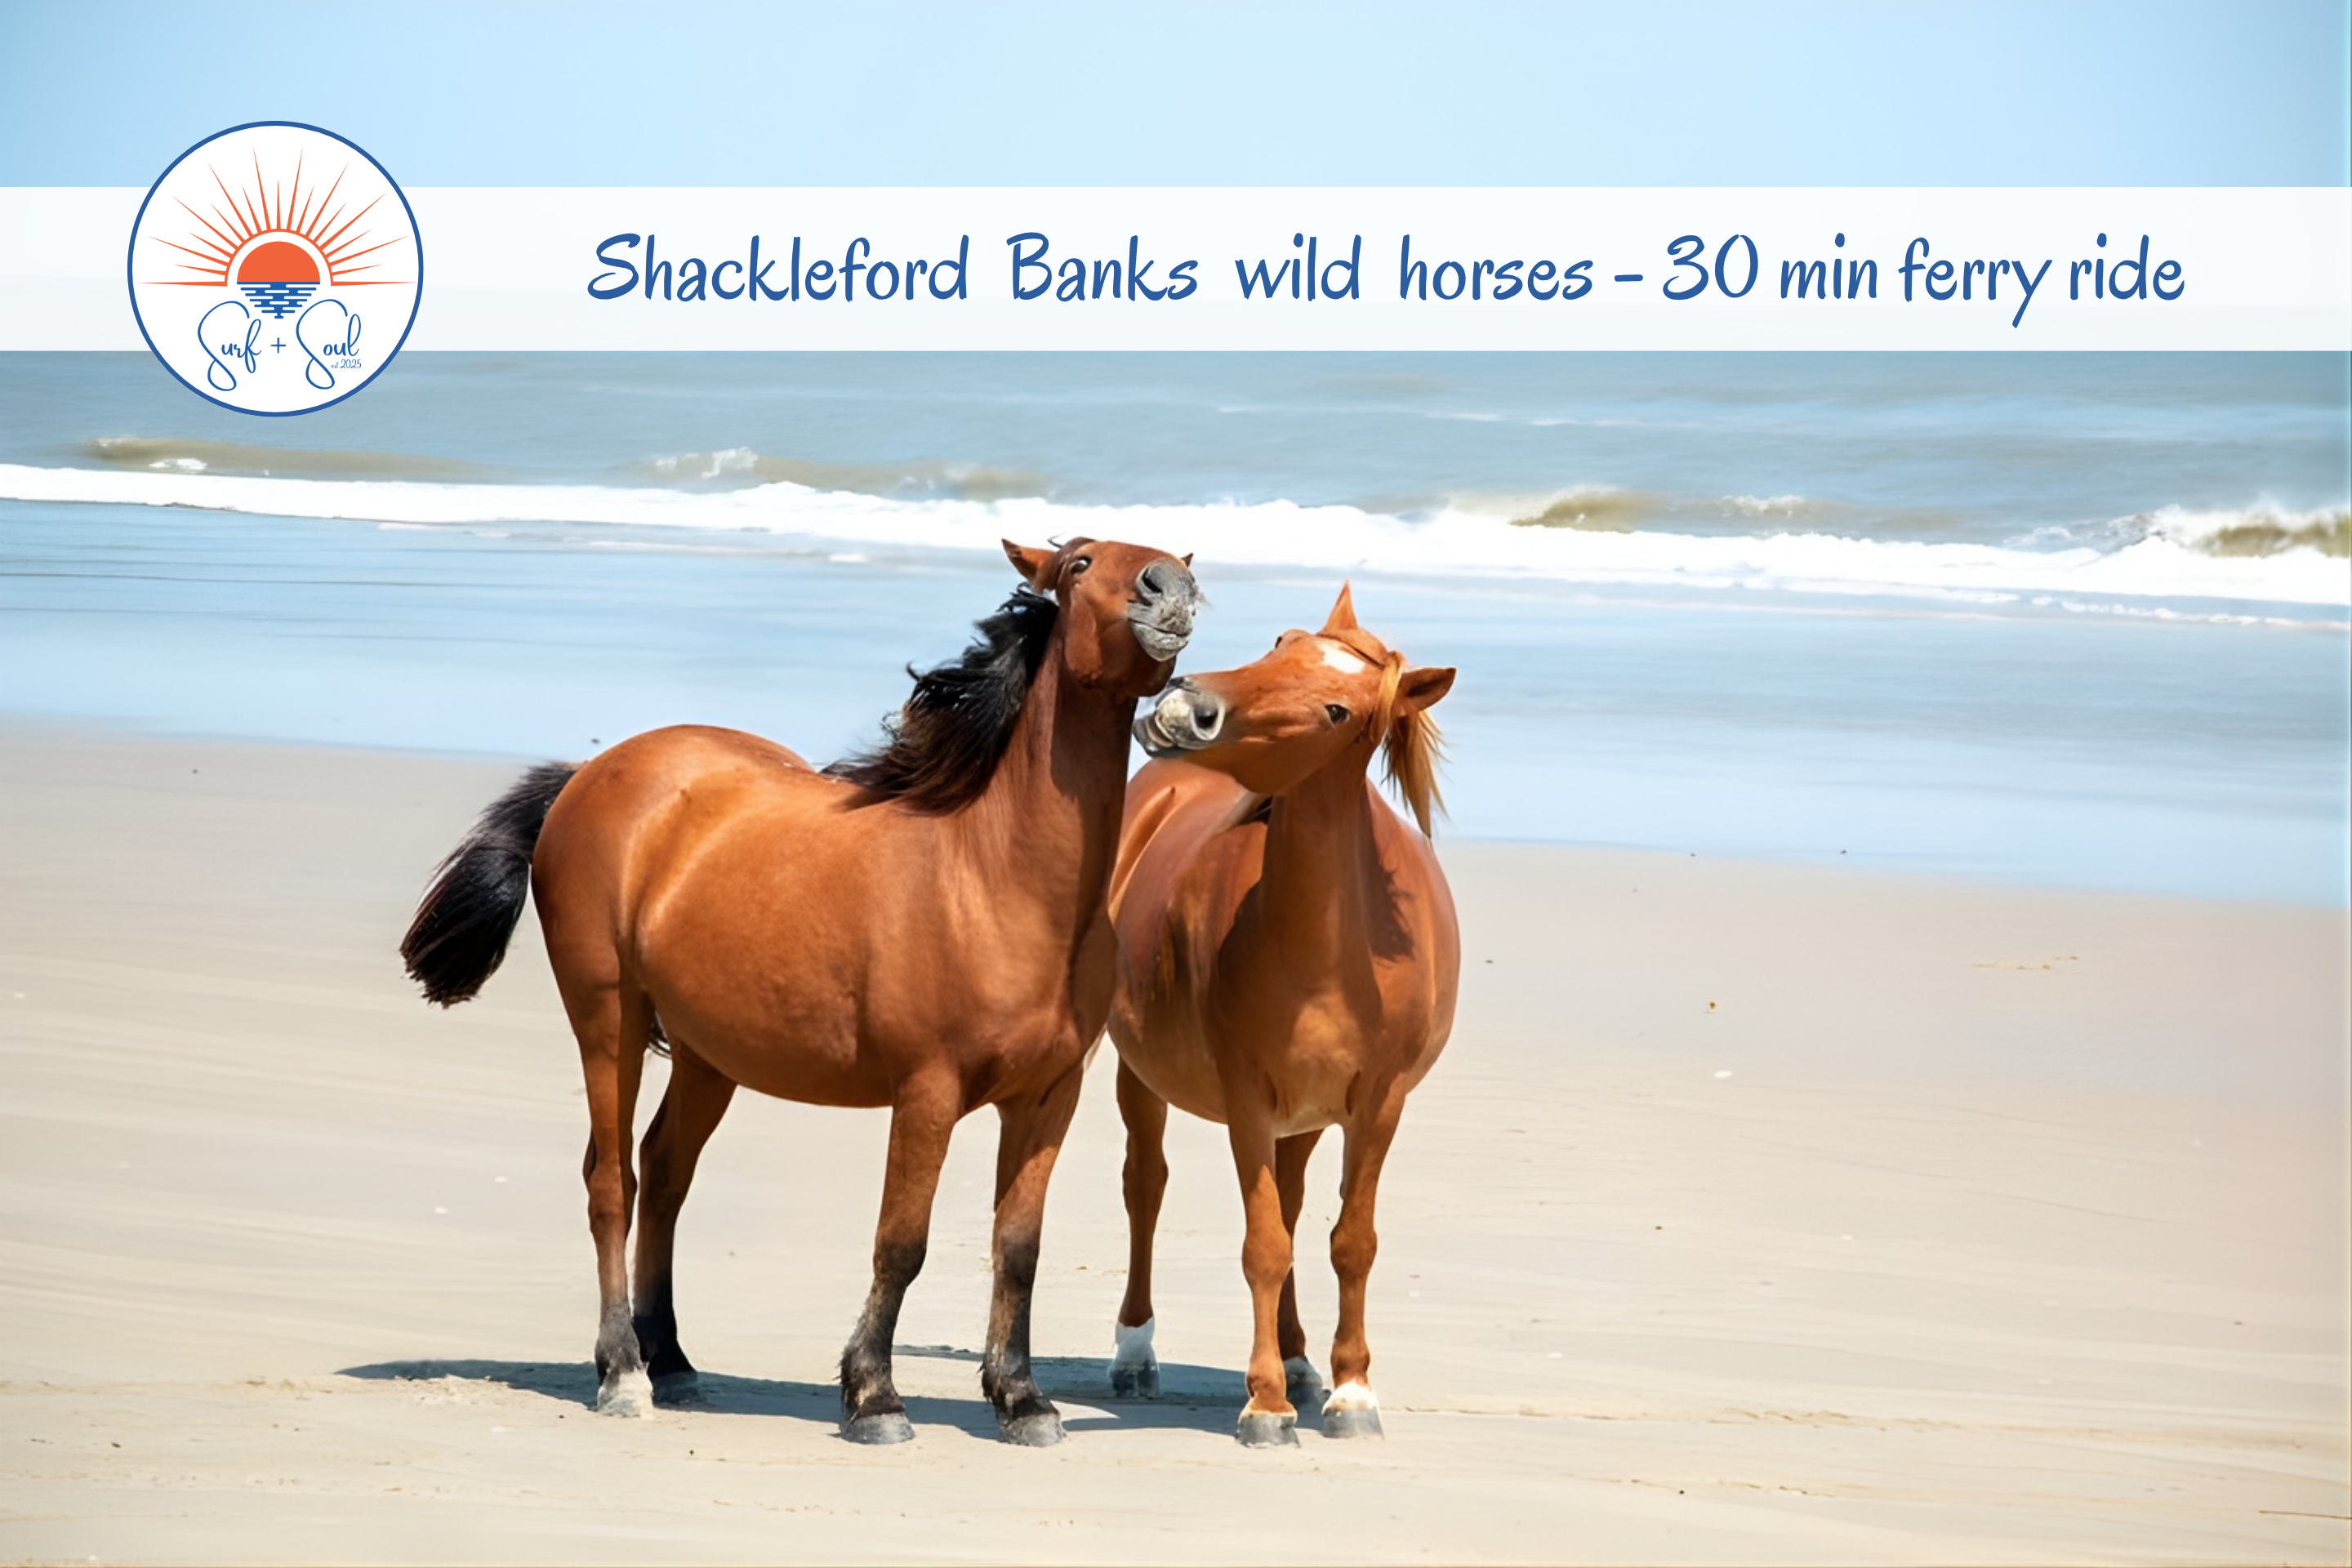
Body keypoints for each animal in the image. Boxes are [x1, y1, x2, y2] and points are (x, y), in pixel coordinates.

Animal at [399, 538, 1202, 1447]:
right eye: (1079, 565)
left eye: (1174, 561)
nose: (1171, 590)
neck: (998, 879)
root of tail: (591, 772)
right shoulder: (926, 1093)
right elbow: (901, 1243)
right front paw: (873, 1398)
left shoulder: (1047, 1098)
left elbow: (1018, 1250)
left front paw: (1021, 1399)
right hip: (607, 1019)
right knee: (612, 1182)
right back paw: (624, 1372)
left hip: (708, 1054)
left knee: (664, 1175)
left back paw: (671, 1360)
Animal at [1102, 584, 1458, 1446]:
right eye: (1279, 642)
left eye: (1337, 710)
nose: (1187, 707)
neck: (1337, 952)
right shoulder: (1246, 1101)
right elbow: (1263, 1244)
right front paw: (1265, 1404)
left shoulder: (1378, 1105)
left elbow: (1347, 1242)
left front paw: (1351, 1392)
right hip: (1140, 1075)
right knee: (1145, 1187)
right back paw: (1136, 1352)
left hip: (1306, 1117)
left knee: (1294, 1208)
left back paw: (1301, 1361)